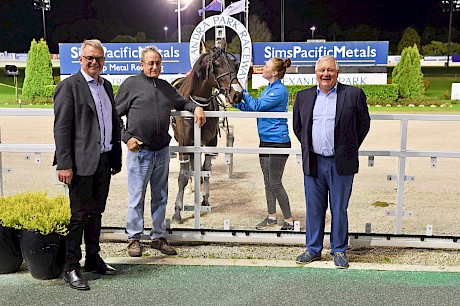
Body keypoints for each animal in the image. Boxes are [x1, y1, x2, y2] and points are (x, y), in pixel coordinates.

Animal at [172, 40, 244, 222]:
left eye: (234, 64)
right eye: (217, 64)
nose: (238, 94)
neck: (198, 106)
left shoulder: (211, 142)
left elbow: (206, 172)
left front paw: (204, 200)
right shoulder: (184, 142)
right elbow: (182, 176)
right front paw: (177, 210)